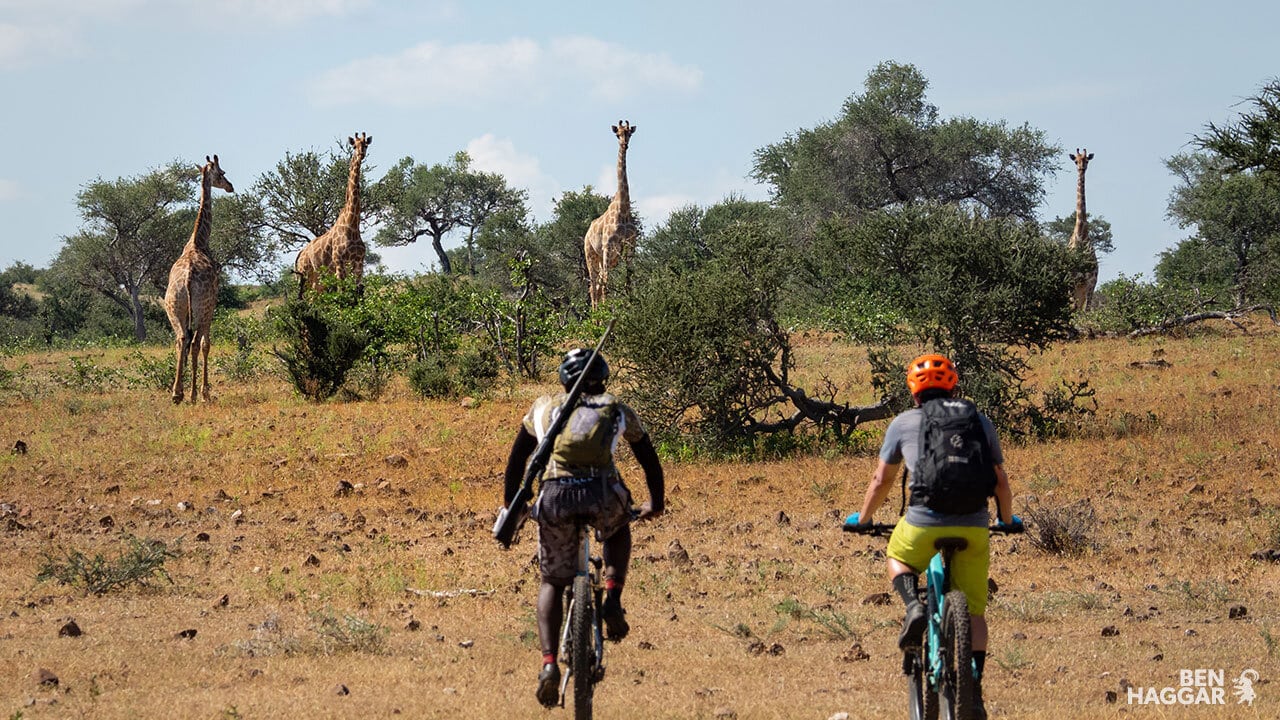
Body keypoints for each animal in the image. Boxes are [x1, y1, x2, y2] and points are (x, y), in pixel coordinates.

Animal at [163, 154, 234, 404]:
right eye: (222, 173)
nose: (231, 187)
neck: (198, 241)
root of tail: (187, 279)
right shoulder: (212, 306)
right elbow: (206, 344)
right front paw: (205, 392)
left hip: (173, 307)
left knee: (181, 340)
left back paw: (177, 393)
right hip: (202, 309)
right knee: (194, 342)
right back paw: (195, 394)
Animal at [295, 132, 372, 298]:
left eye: (366, 145)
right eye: (354, 145)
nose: (361, 154)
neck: (352, 224)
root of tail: (300, 254)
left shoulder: (359, 263)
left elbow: (359, 293)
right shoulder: (339, 262)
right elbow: (341, 291)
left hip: (317, 278)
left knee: (313, 298)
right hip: (304, 275)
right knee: (303, 298)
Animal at [583, 121, 638, 308]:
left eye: (629, 133)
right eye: (617, 134)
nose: (624, 144)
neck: (623, 209)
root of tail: (586, 234)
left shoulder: (630, 247)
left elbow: (628, 282)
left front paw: (631, 307)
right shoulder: (608, 246)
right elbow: (607, 283)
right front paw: (606, 311)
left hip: (609, 259)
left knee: (598, 285)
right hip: (591, 255)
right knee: (594, 285)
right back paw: (595, 314)